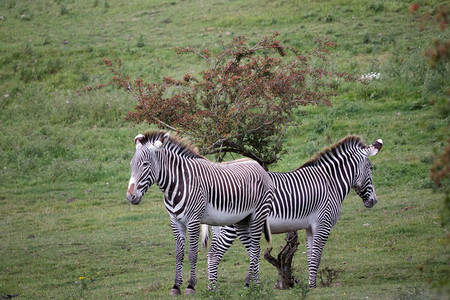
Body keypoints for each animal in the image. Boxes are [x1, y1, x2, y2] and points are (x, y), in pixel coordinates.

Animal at [125, 131, 272, 296]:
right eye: (131, 165)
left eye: (145, 164)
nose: (130, 196)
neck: (177, 185)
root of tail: (257, 164)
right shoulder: (175, 221)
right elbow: (179, 254)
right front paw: (176, 286)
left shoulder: (194, 220)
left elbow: (192, 254)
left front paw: (190, 286)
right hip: (242, 220)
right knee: (252, 249)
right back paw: (251, 284)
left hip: (257, 216)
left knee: (256, 248)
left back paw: (254, 284)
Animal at [203, 136, 384, 288]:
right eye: (371, 168)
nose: (373, 201)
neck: (330, 183)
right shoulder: (323, 224)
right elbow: (317, 255)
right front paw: (313, 286)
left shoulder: (310, 227)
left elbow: (311, 256)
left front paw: (311, 284)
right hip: (230, 225)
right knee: (215, 254)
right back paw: (215, 289)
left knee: (213, 253)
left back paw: (213, 288)